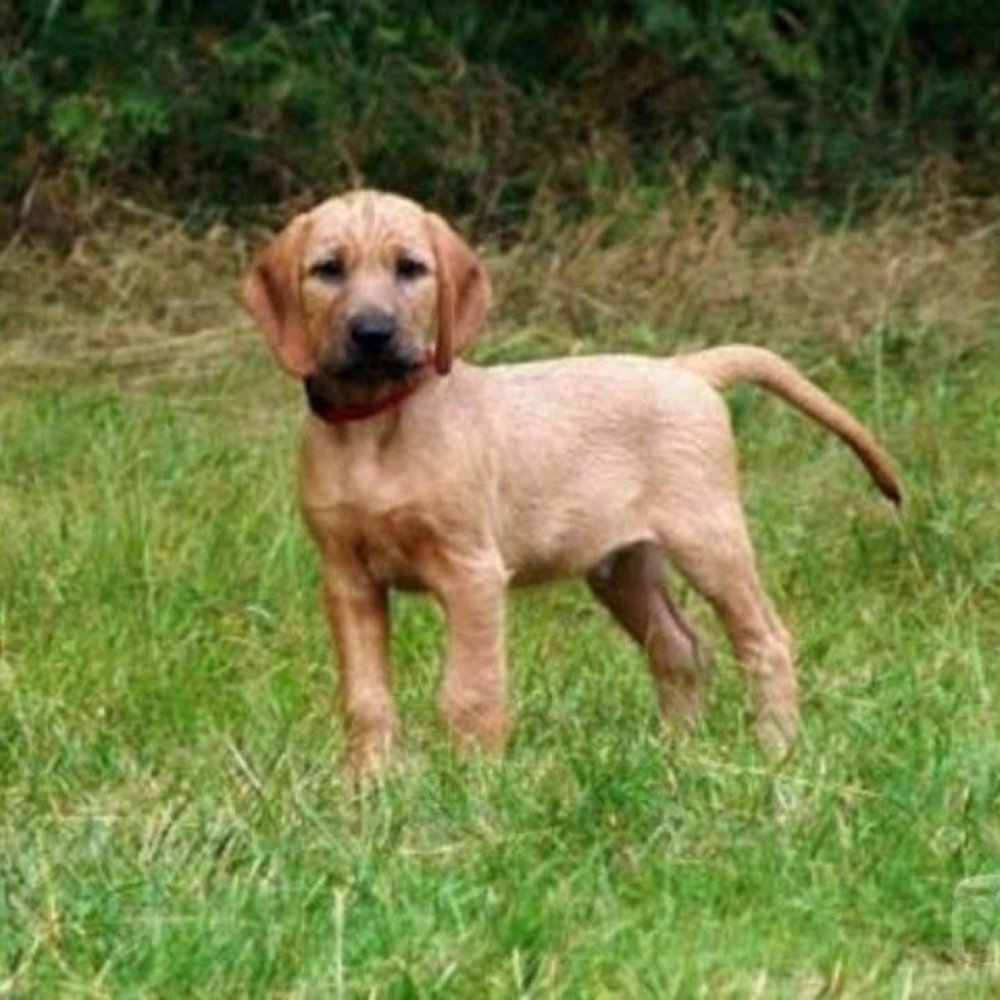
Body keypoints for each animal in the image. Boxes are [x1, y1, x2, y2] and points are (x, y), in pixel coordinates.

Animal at [240, 191, 900, 776]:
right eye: (328, 270)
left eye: (411, 269)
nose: (372, 332)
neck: (376, 426)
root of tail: (686, 369)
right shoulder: (348, 580)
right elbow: (366, 698)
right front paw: (366, 785)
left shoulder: (472, 573)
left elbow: (470, 692)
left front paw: (473, 785)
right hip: (621, 567)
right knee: (679, 650)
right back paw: (678, 755)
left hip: (709, 541)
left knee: (764, 640)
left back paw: (776, 749)